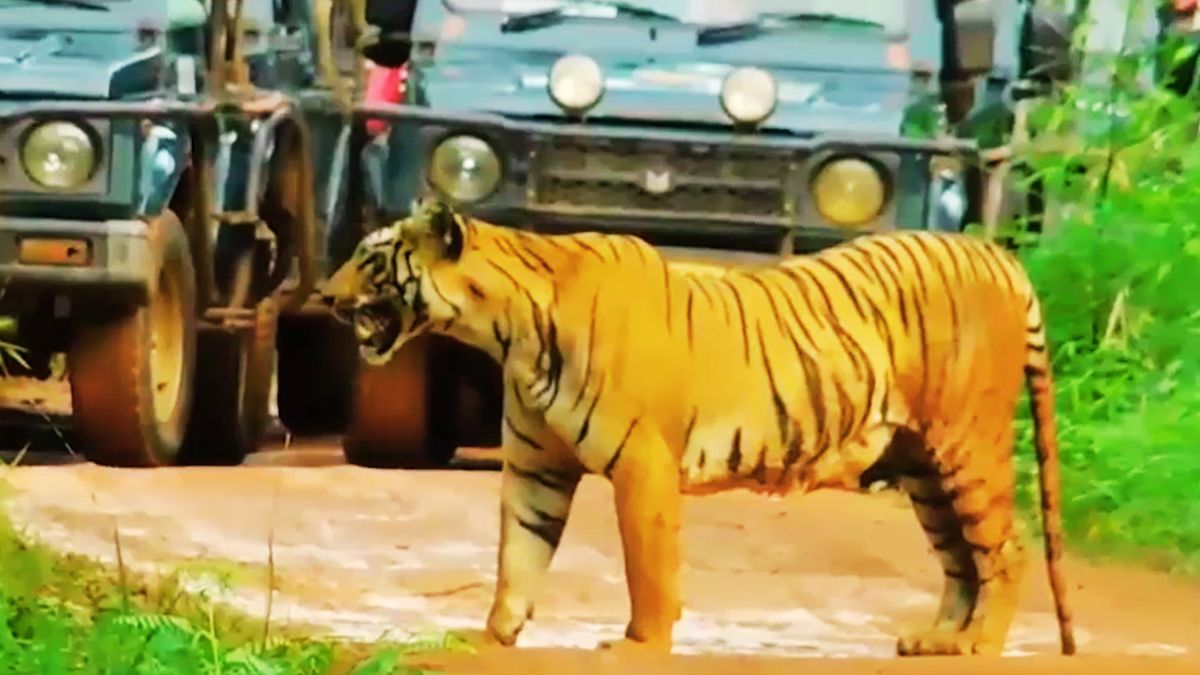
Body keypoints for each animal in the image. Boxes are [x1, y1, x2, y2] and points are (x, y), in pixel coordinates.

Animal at [321, 196, 1076, 658]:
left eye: (369, 259)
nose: (325, 297)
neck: (506, 332)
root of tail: (1002, 257)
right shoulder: (537, 466)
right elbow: (518, 555)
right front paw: (491, 636)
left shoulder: (642, 460)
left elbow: (646, 561)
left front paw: (640, 643)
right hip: (922, 464)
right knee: (962, 560)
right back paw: (938, 641)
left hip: (966, 443)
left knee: (1006, 550)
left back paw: (979, 644)